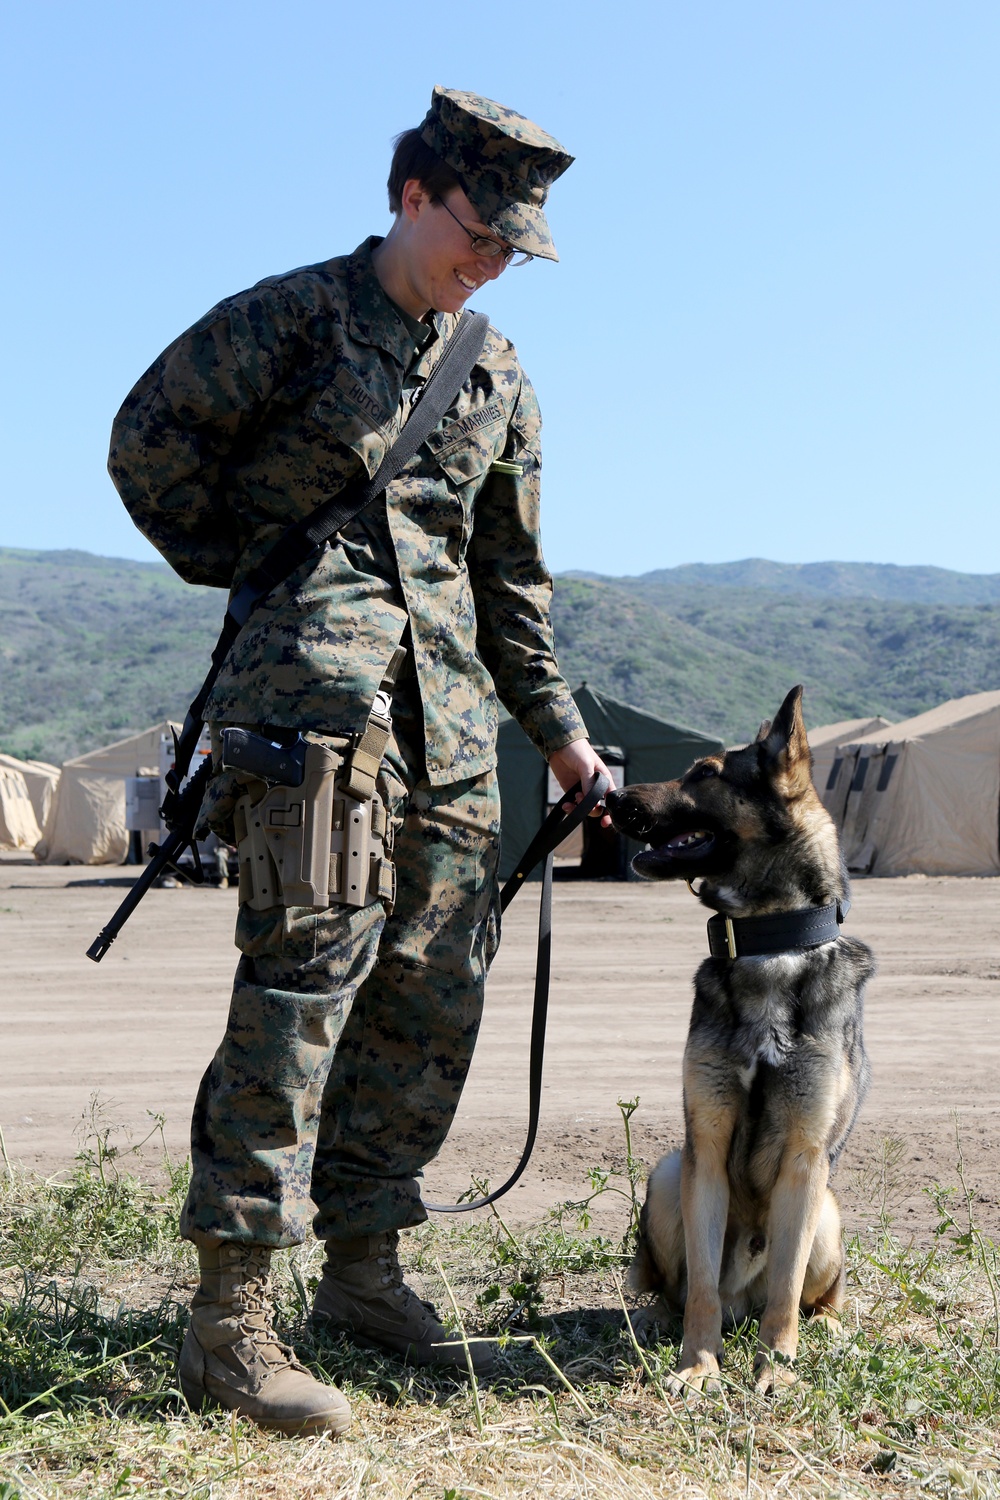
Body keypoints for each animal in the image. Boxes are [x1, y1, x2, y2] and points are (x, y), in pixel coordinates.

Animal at [605, 690, 869, 1392]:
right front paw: (699, 1365)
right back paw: (657, 1321)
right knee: (678, 1287)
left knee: (814, 1295)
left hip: (827, 1207)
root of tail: (740, 1301)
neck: (765, 942)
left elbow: (787, 1289)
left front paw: (776, 1367)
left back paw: (826, 1331)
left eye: (705, 772)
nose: (611, 795)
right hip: (671, 1171)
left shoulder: (805, 1160)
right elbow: (698, 1288)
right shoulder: (708, 1145)